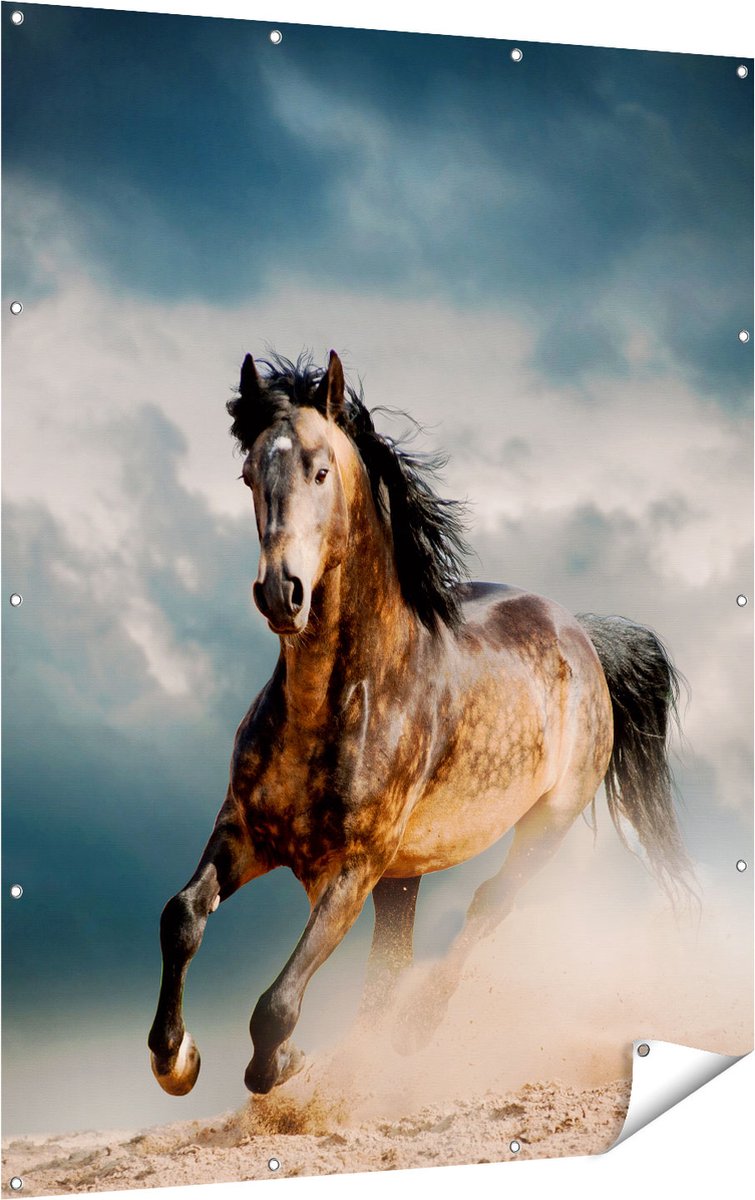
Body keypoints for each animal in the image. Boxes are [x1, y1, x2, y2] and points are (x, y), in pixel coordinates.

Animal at [148, 349, 693, 1097]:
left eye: (320, 470)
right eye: (249, 474)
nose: (281, 593)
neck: (334, 704)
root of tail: (581, 633)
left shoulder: (353, 867)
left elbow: (276, 1005)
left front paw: (284, 1063)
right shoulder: (244, 832)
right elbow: (181, 917)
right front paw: (175, 1058)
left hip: (543, 825)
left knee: (485, 907)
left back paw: (414, 1029)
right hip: (403, 877)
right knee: (392, 962)